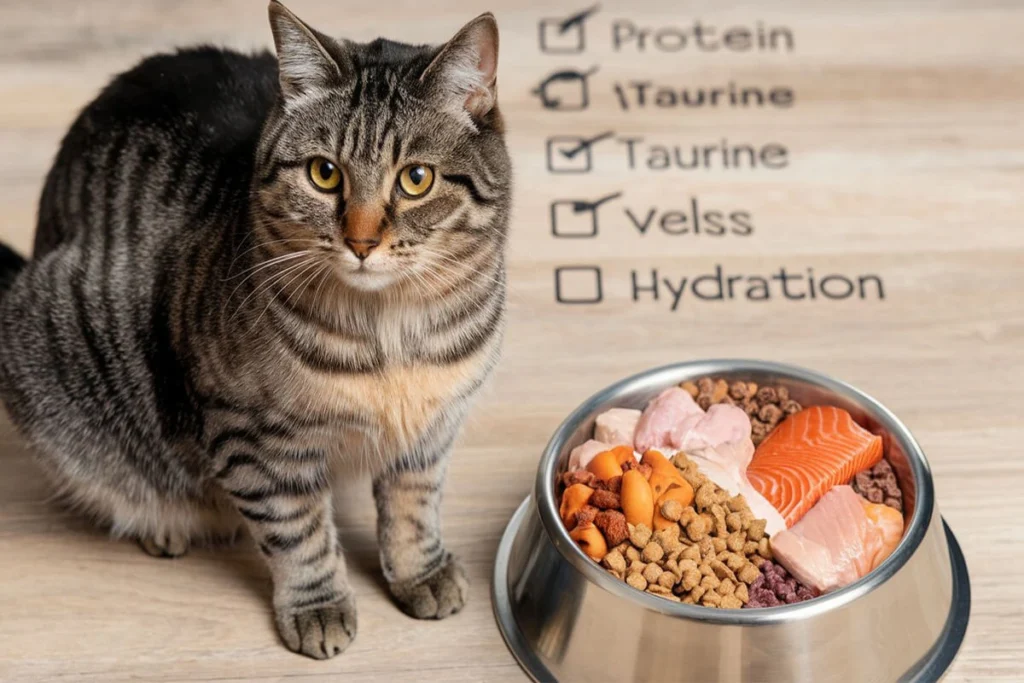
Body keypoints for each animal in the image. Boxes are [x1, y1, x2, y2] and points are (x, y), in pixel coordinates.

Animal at [0, 1, 509, 663]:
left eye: (416, 179)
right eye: (324, 174)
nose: (362, 241)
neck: (394, 332)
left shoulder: (433, 426)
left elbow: (413, 507)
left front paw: (420, 572)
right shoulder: (254, 438)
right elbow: (299, 532)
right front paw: (318, 606)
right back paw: (165, 524)